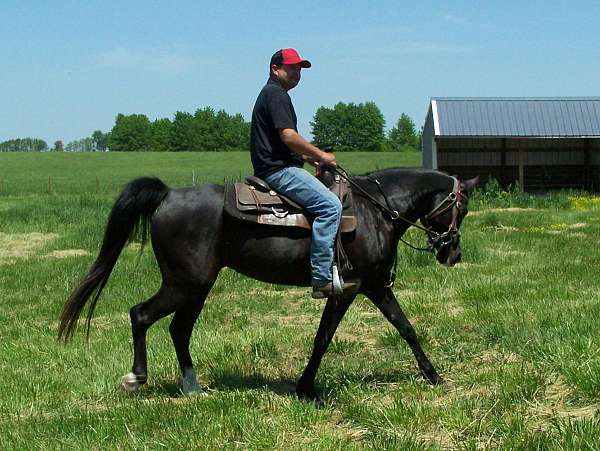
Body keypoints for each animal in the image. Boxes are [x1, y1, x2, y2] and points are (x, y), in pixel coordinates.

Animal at [57, 168, 478, 400]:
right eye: (461, 206)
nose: (453, 254)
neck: (376, 209)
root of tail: (168, 194)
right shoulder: (355, 287)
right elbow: (328, 336)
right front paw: (306, 388)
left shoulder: (373, 285)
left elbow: (404, 328)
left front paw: (433, 375)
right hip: (185, 284)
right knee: (141, 315)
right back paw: (137, 378)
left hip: (197, 286)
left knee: (178, 329)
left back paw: (192, 386)